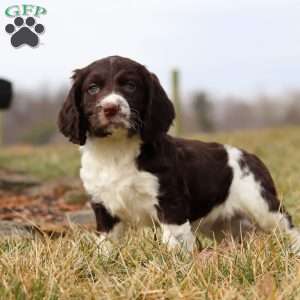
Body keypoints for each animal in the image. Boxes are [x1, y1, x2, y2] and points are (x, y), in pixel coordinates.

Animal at [58, 55, 300, 252]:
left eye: (130, 86)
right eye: (92, 88)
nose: (111, 108)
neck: (115, 150)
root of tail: (250, 156)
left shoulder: (170, 202)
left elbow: (174, 240)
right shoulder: (103, 207)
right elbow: (106, 244)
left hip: (261, 205)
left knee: (287, 227)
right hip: (221, 224)